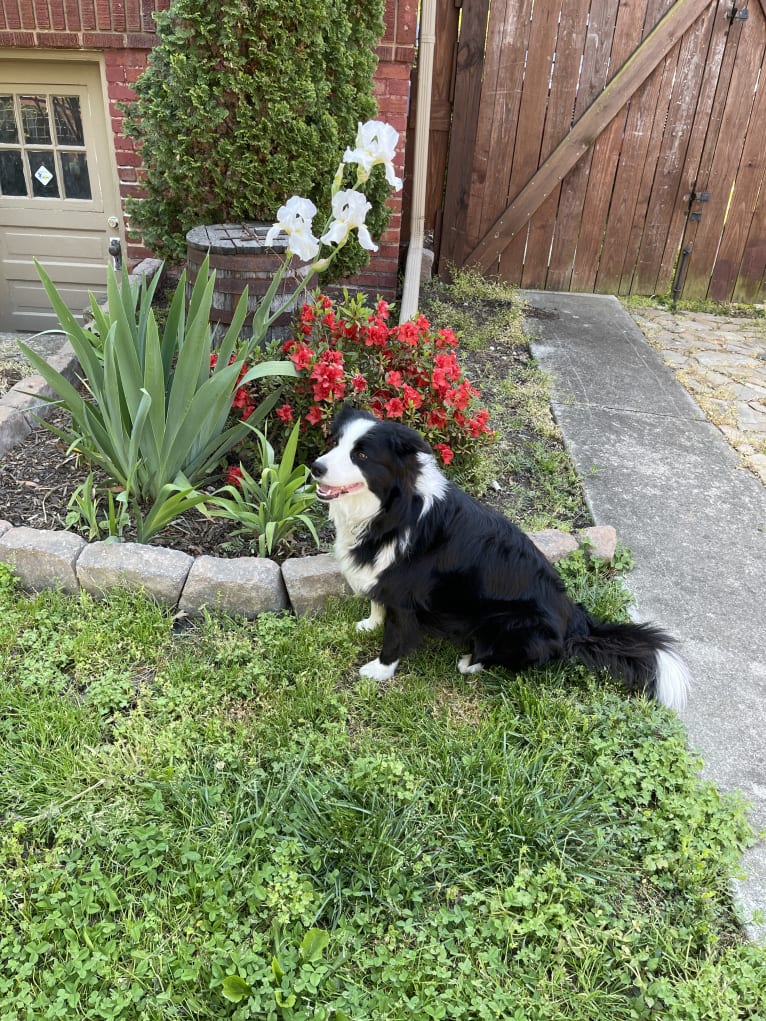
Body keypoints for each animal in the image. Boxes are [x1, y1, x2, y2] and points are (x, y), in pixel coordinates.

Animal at [312, 406, 690, 710]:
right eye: (336, 442)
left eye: (361, 456)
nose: (315, 467)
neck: (390, 509)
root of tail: (576, 624)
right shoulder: (385, 576)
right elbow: (378, 603)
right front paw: (370, 623)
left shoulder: (406, 593)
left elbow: (396, 633)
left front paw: (379, 669)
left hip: (508, 623)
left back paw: (471, 661)